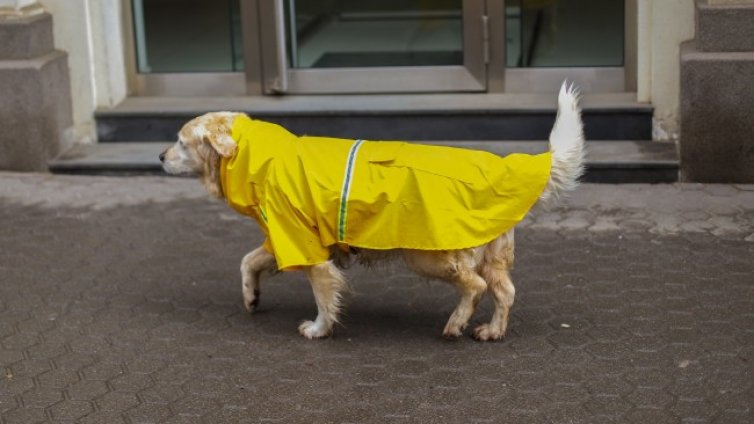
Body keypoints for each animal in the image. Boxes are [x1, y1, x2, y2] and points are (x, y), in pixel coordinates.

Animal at [157, 83, 580, 342]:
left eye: (181, 142)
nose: (159, 156)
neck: (253, 157)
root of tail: (501, 170)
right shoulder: (285, 237)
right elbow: (247, 261)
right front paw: (251, 297)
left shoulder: (307, 247)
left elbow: (323, 295)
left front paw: (318, 328)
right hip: (490, 253)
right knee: (505, 291)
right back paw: (491, 330)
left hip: (430, 256)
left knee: (474, 287)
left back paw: (456, 323)